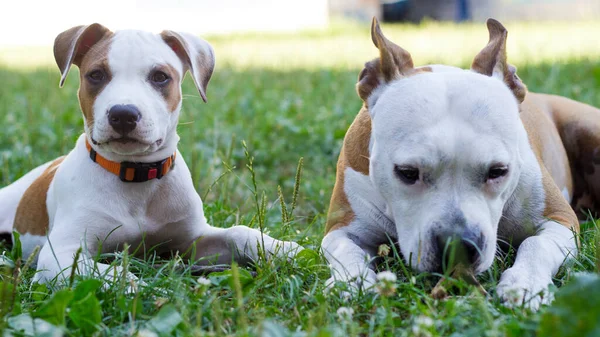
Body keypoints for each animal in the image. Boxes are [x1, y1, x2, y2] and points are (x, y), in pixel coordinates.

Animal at [0, 23, 300, 286]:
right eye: (96, 75)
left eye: (160, 77)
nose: (123, 114)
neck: (137, 176)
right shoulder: (60, 254)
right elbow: (114, 273)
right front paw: (144, 290)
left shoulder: (194, 240)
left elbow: (239, 233)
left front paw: (284, 248)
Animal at [322, 17, 596, 308]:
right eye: (407, 172)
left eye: (498, 171)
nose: (457, 246)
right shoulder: (342, 228)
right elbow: (345, 248)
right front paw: (349, 283)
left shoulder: (559, 219)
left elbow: (536, 245)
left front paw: (525, 283)